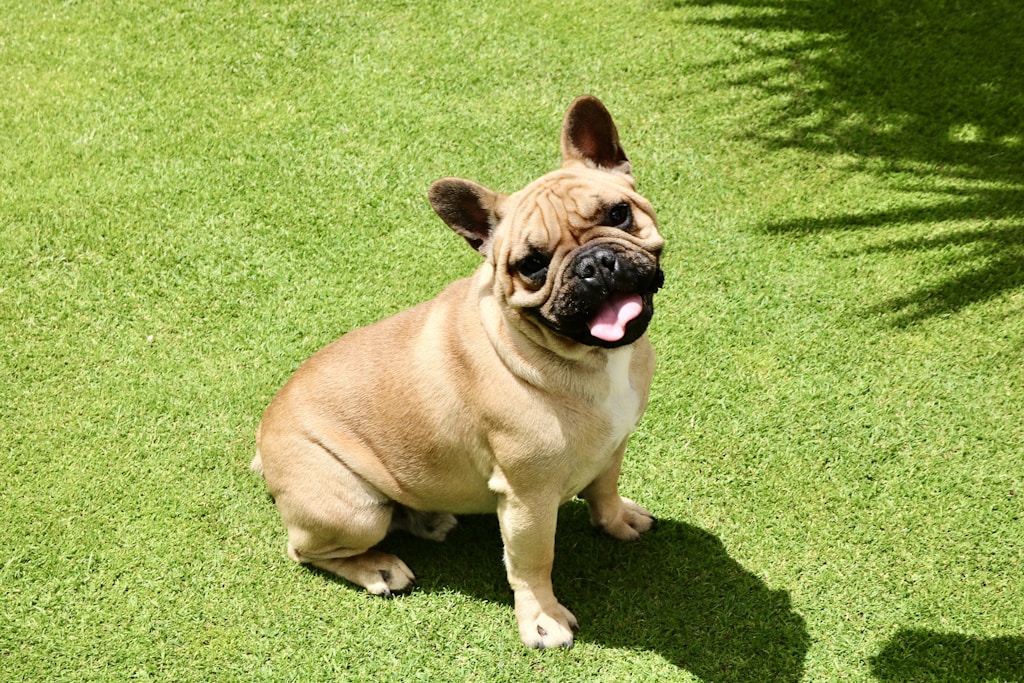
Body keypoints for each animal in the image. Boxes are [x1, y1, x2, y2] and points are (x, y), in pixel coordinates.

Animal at [253, 94, 663, 647]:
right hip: (353, 509)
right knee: (305, 549)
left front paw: (616, 520)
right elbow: (533, 561)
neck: (588, 357)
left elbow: (605, 485)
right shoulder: (528, 499)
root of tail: (263, 443)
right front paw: (541, 618)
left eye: (619, 214)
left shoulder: (614, 443)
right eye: (532, 265)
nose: (593, 263)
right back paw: (377, 566)